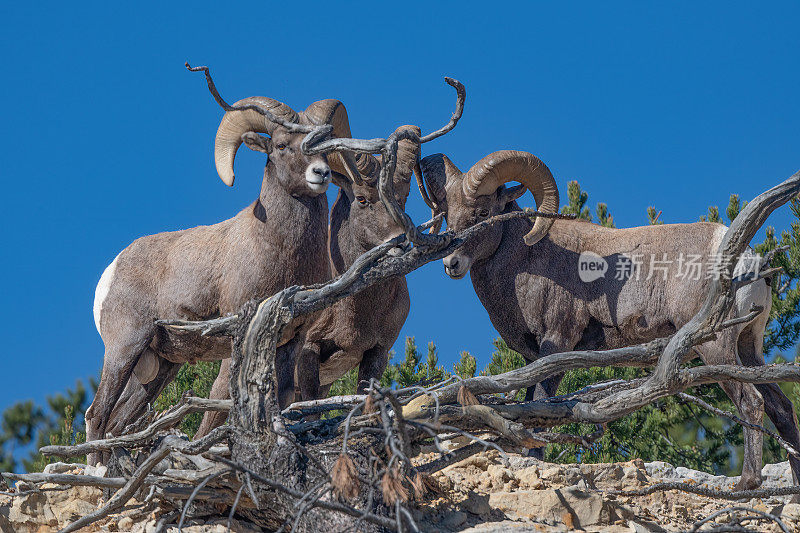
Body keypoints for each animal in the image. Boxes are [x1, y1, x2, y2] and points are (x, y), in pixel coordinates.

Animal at [85, 89, 360, 460]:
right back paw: (96, 468)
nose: (321, 173)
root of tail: (111, 271)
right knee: (98, 414)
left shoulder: (292, 338)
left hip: (157, 369)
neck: (277, 247)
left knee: (118, 422)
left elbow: (284, 397)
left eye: (324, 146)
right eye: (282, 145)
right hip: (125, 348)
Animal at [196, 125, 422, 436]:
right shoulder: (310, 350)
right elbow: (312, 410)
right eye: (362, 198)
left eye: (402, 198)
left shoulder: (376, 353)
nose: (400, 243)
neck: (358, 308)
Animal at [418, 149, 800, 486]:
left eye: (483, 212)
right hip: (748, 350)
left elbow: (539, 405)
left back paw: (747, 483)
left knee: (751, 403)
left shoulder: (557, 344)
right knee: (781, 408)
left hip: (717, 348)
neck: (527, 260)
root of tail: (753, 262)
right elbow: (530, 405)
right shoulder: (532, 359)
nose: (451, 264)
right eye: (449, 214)